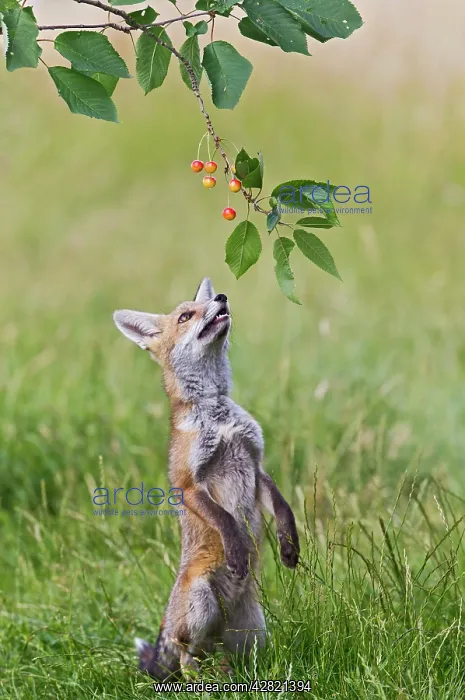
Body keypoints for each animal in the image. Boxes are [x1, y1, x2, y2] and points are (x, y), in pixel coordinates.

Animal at [113, 277, 300, 679]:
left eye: (204, 304)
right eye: (186, 316)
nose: (222, 297)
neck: (217, 414)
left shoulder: (256, 464)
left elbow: (283, 508)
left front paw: (289, 544)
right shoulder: (188, 484)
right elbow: (225, 519)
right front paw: (237, 551)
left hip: (252, 632)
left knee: (224, 658)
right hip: (201, 606)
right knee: (185, 655)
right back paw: (196, 680)